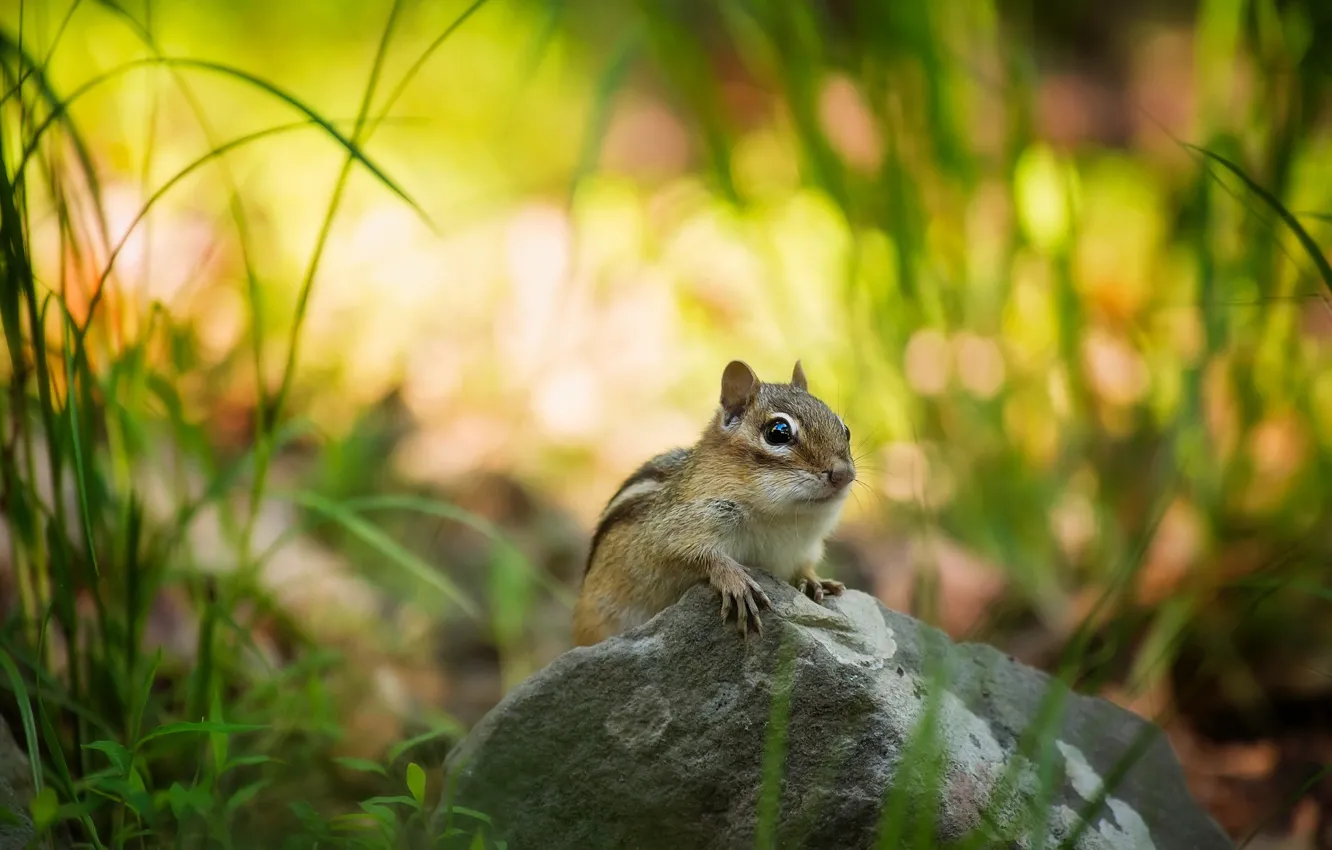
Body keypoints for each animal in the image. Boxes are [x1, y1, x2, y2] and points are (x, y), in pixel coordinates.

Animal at [572, 359, 856, 646]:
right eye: (778, 432)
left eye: (845, 430)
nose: (844, 474)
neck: (783, 518)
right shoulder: (666, 531)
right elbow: (690, 554)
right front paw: (734, 580)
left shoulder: (804, 547)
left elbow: (805, 564)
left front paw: (814, 579)